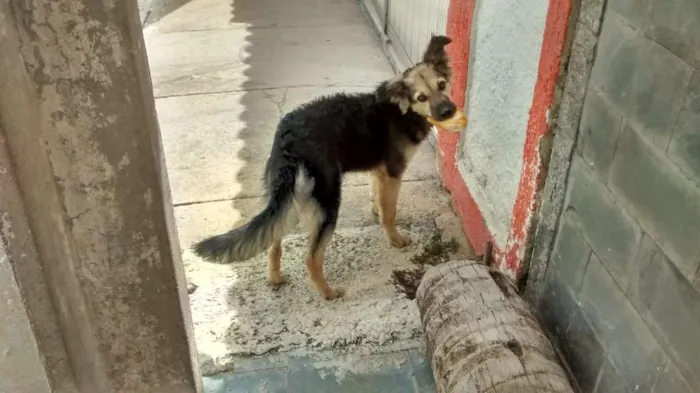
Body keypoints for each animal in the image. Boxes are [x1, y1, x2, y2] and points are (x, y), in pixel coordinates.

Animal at [193, 35, 460, 298]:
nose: (448, 111)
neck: (401, 110)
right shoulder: (393, 172)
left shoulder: (379, 171)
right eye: (421, 97)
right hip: (329, 201)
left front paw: (376, 210)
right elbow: (390, 212)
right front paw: (395, 238)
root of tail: (288, 136)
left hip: (285, 192)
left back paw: (275, 278)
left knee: (274, 239)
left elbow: (378, 198)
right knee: (311, 257)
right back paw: (328, 293)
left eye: (442, 85)